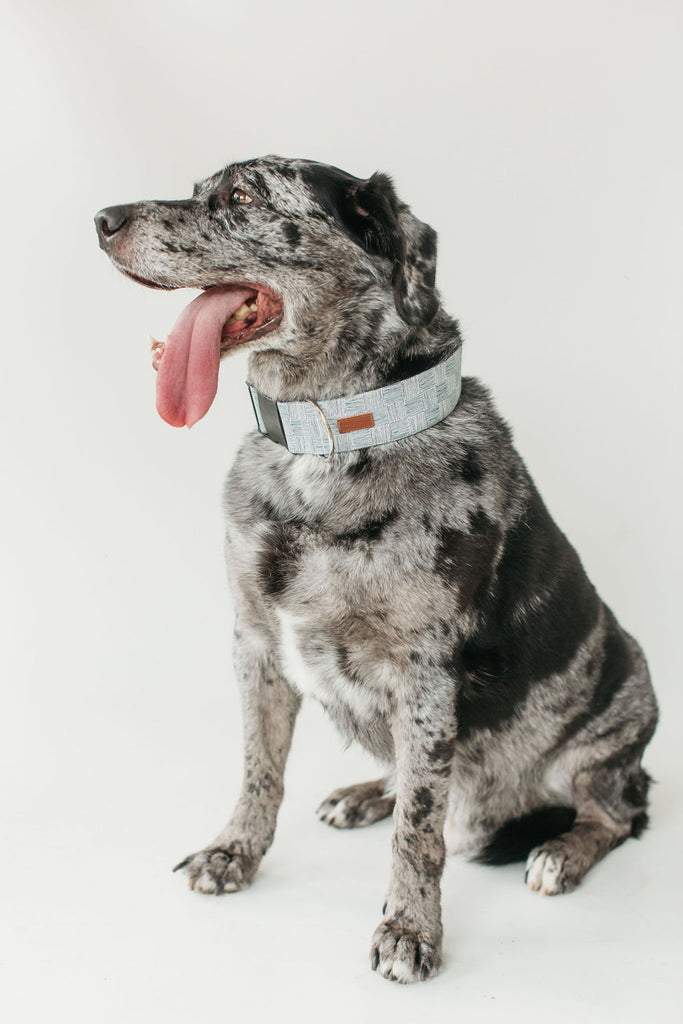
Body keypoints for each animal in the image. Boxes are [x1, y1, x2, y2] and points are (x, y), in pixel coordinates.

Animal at [95, 155, 658, 983]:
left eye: (241, 195)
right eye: (200, 189)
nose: (101, 220)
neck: (325, 440)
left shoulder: (423, 674)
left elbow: (419, 831)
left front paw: (409, 930)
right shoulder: (254, 645)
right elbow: (259, 769)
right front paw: (234, 853)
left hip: (619, 704)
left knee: (614, 811)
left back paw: (561, 851)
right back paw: (367, 793)